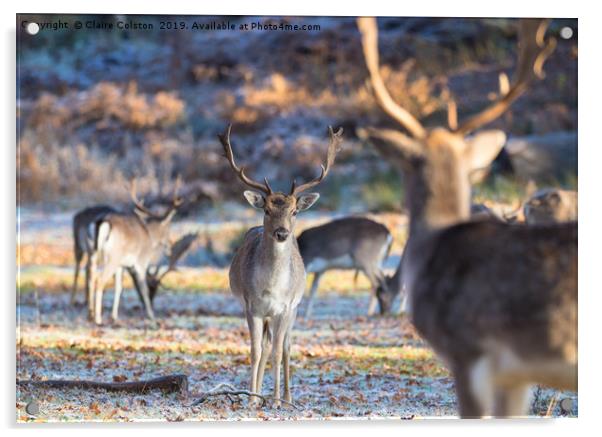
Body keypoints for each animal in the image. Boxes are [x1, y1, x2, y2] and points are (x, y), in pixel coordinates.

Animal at [86, 179, 180, 326]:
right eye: (168, 229)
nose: (170, 247)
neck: (149, 236)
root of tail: (101, 222)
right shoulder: (141, 262)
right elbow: (144, 288)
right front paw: (151, 316)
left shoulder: (121, 265)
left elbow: (119, 287)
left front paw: (114, 317)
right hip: (112, 257)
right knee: (100, 280)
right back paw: (98, 318)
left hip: (93, 252)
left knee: (90, 276)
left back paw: (90, 314)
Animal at [220, 122, 342, 406]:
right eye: (266, 210)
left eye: (294, 211)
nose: (282, 232)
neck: (271, 287)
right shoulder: (251, 306)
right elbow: (255, 350)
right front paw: (252, 398)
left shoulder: (285, 308)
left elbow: (278, 352)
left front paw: (275, 400)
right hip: (265, 314)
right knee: (265, 346)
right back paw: (259, 394)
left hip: (294, 308)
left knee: (285, 347)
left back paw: (286, 396)